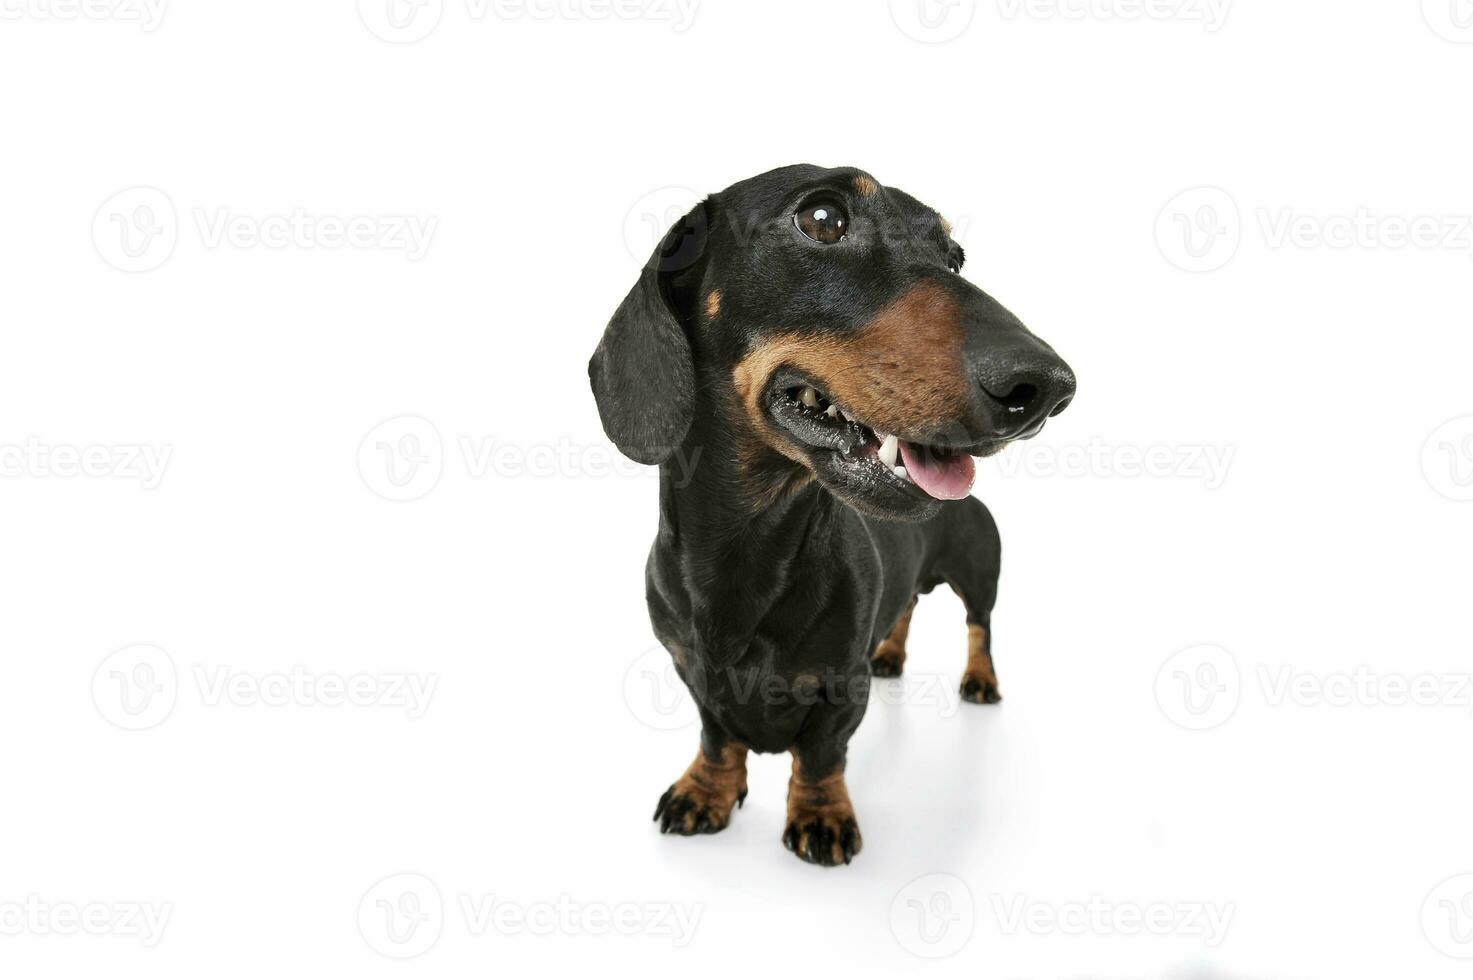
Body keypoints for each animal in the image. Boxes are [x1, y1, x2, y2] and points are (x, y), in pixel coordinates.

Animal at [583, 164, 1072, 866]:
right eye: (822, 219)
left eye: (955, 256)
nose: (1050, 389)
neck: (750, 547)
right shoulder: (691, 672)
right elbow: (716, 735)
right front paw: (706, 790)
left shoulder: (842, 688)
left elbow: (820, 755)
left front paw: (820, 815)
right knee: (909, 605)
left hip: (983, 574)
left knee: (980, 628)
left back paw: (979, 679)